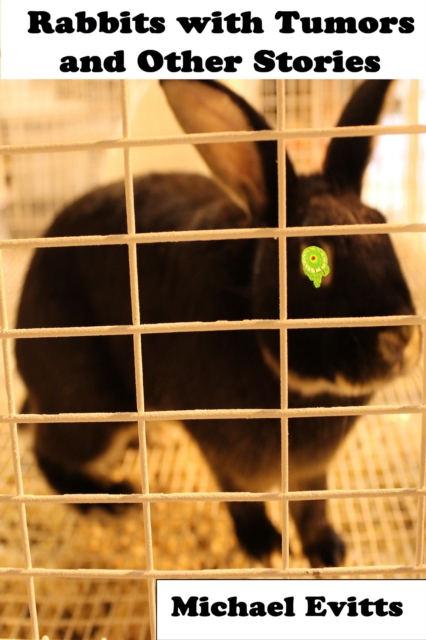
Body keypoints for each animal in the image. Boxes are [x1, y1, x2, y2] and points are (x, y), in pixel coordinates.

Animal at [15, 79, 420, 568]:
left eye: (384, 227)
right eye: (313, 257)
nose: (401, 338)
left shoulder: (312, 473)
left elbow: (313, 505)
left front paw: (328, 552)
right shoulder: (223, 456)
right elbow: (241, 499)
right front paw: (265, 547)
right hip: (90, 404)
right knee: (48, 451)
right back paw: (110, 501)